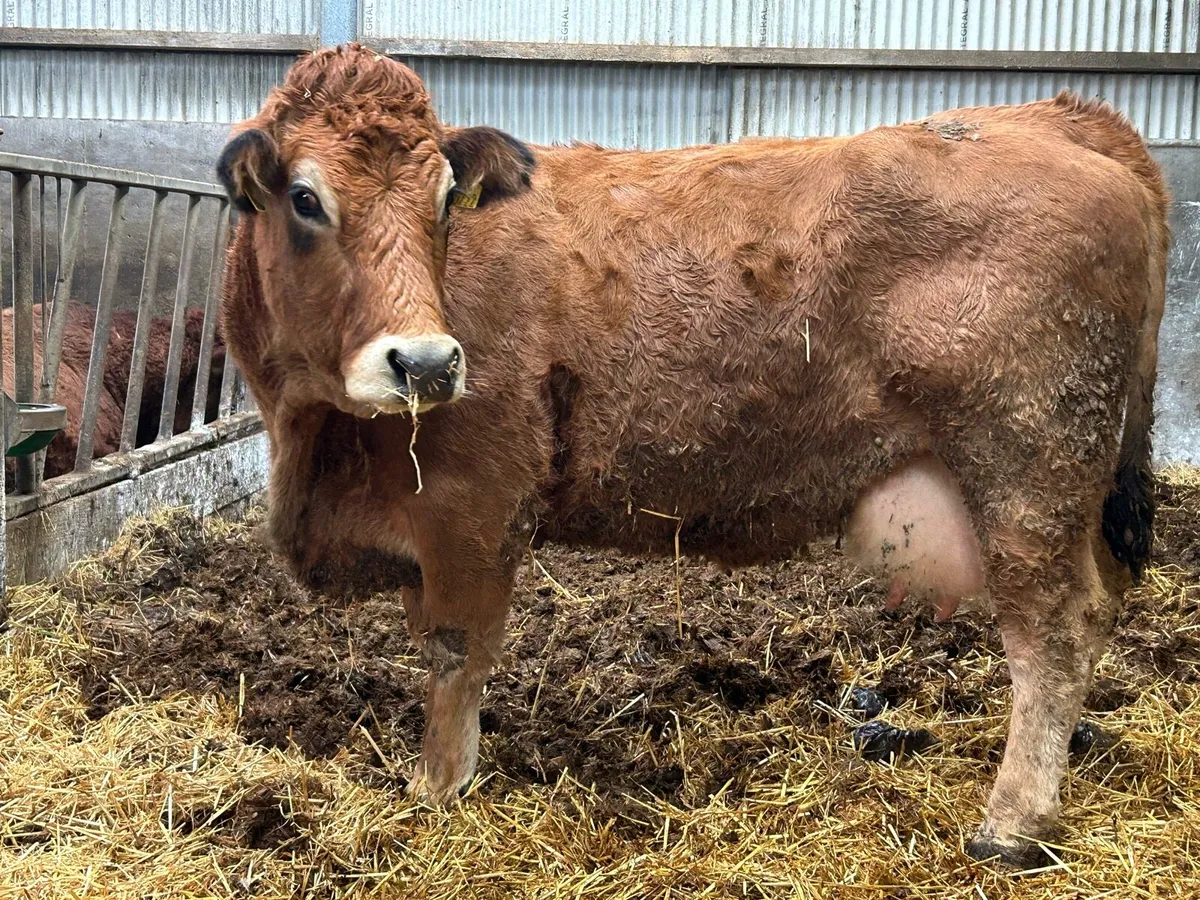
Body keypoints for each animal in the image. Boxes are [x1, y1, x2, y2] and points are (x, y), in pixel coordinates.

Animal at [216, 45, 1167, 866]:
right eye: (304, 199)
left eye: (448, 198)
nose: (425, 364)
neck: (313, 439)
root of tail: (1052, 116)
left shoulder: (472, 509)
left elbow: (457, 655)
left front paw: (438, 790)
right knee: (1101, 606)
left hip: (1027, 468)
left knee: (1057, 628)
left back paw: (1013, 823)